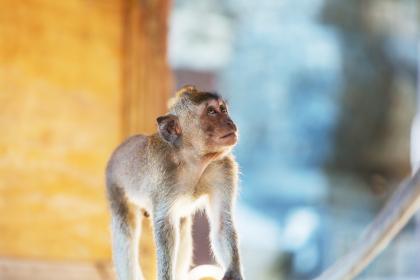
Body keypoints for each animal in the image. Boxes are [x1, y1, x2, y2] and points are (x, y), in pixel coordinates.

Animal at [106, 85, 243, 280]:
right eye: (211, 112)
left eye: (223, 109)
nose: (230, 122)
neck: (193, 160)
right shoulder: (164, 175)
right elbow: (165, 229)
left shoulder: (224, 169)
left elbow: (222, 224)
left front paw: (234, 273)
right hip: (114, 184)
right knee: (125, 230)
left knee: (183, 226)